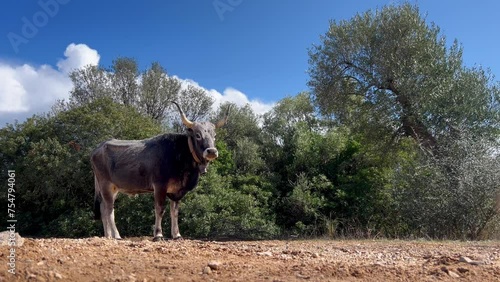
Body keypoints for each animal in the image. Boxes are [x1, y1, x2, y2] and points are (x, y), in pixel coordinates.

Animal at [91, 102, 229, 241]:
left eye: (214, 136)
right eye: (198, 135)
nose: (211, 151)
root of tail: (99, 147)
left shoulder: (176, 191)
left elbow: (174, 212)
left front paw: (177, 235)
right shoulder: (159, 186)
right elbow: (160, 209)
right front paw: (158, 234)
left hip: (113, 188)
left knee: (103, 209)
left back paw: (108, 236)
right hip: (106, 185)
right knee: (109, 209)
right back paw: (117, 235)